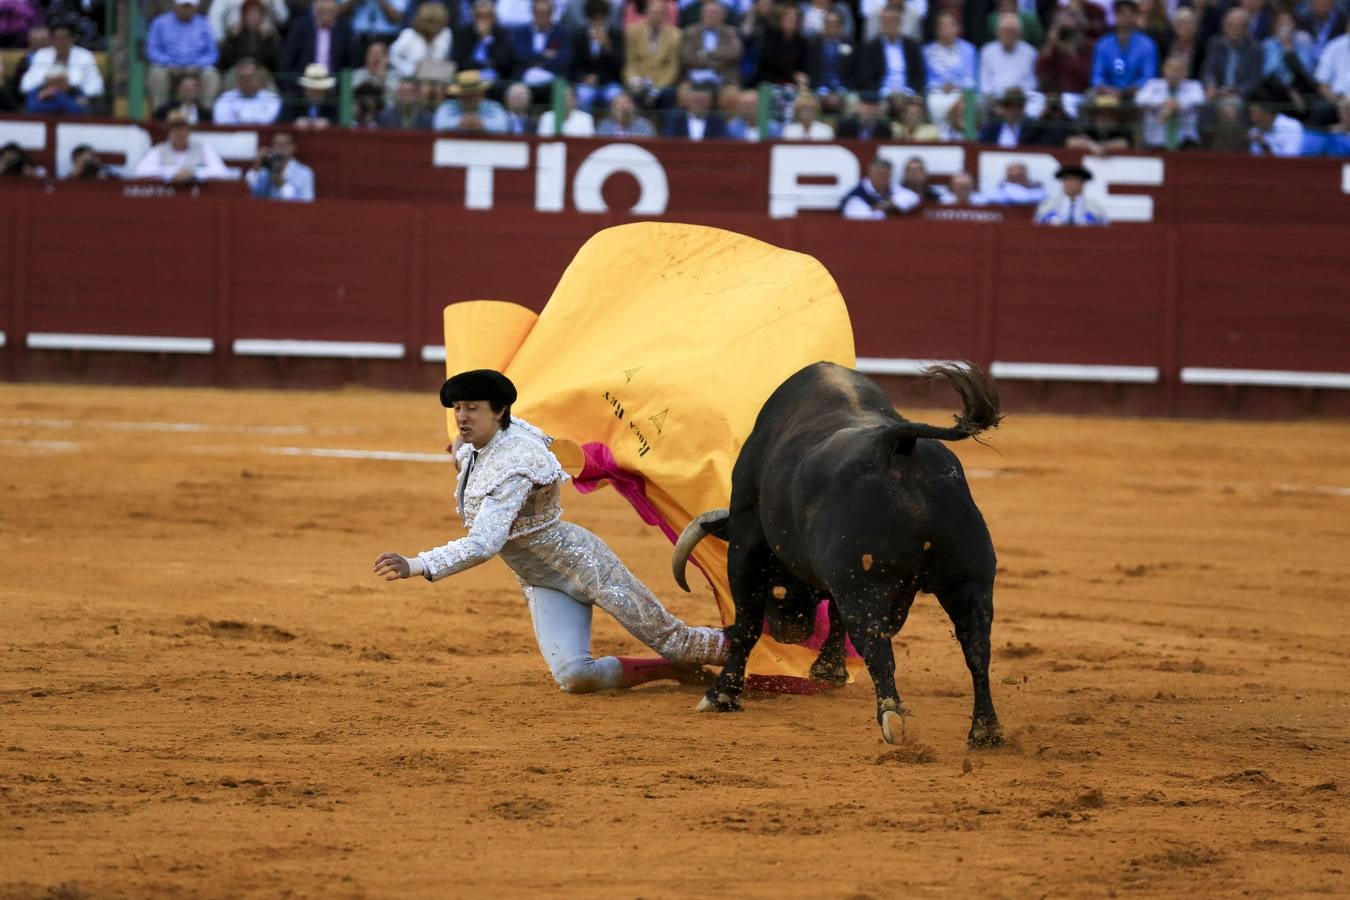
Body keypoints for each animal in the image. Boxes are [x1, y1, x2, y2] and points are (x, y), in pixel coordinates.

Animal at [672, 358, 1004, 744]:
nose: (789, 632)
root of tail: (899, 445)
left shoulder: (746, 544)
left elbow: (748, 625)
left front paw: (721, 694)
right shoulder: (840, 576)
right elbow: (834, 615)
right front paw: (828, 669)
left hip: (864, 585)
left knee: (876, 645)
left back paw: (893, 717)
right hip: (970, 581)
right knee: (977, 646)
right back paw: (985, 729)